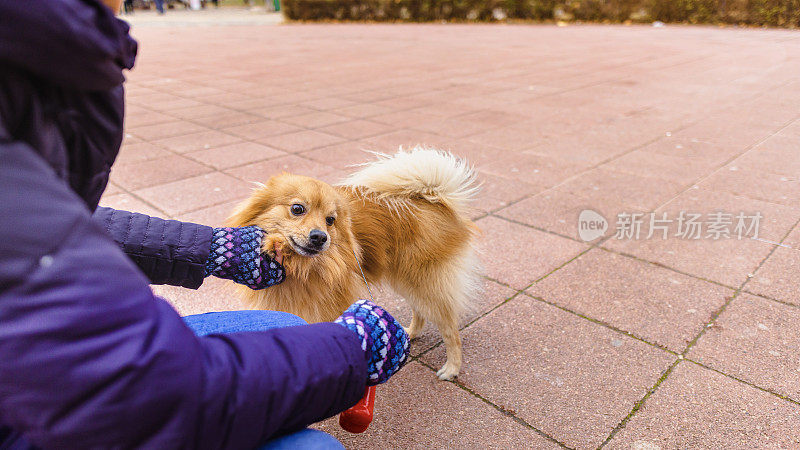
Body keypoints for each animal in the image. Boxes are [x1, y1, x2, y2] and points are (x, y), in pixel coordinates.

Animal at [228, 148, 484, 380]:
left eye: (330, 220)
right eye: (297, 209)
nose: (320, 237)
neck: (303, 268)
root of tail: (433, 197)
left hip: (425, 281)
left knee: (450, 329)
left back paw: (451, 369)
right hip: (407, 279)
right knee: (419, 310)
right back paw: (410, 333)